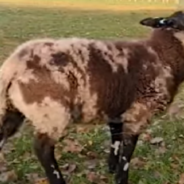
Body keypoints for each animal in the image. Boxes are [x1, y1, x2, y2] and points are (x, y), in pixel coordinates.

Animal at [0, 9, 184, 184]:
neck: (162, 55)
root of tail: (13, 66)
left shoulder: (116, 110)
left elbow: (115, 139)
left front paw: (111, 168)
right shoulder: (139, 112)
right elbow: (128, 151)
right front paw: (121, 178)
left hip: (11, 109)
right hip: (50, 110)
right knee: (42, 149)